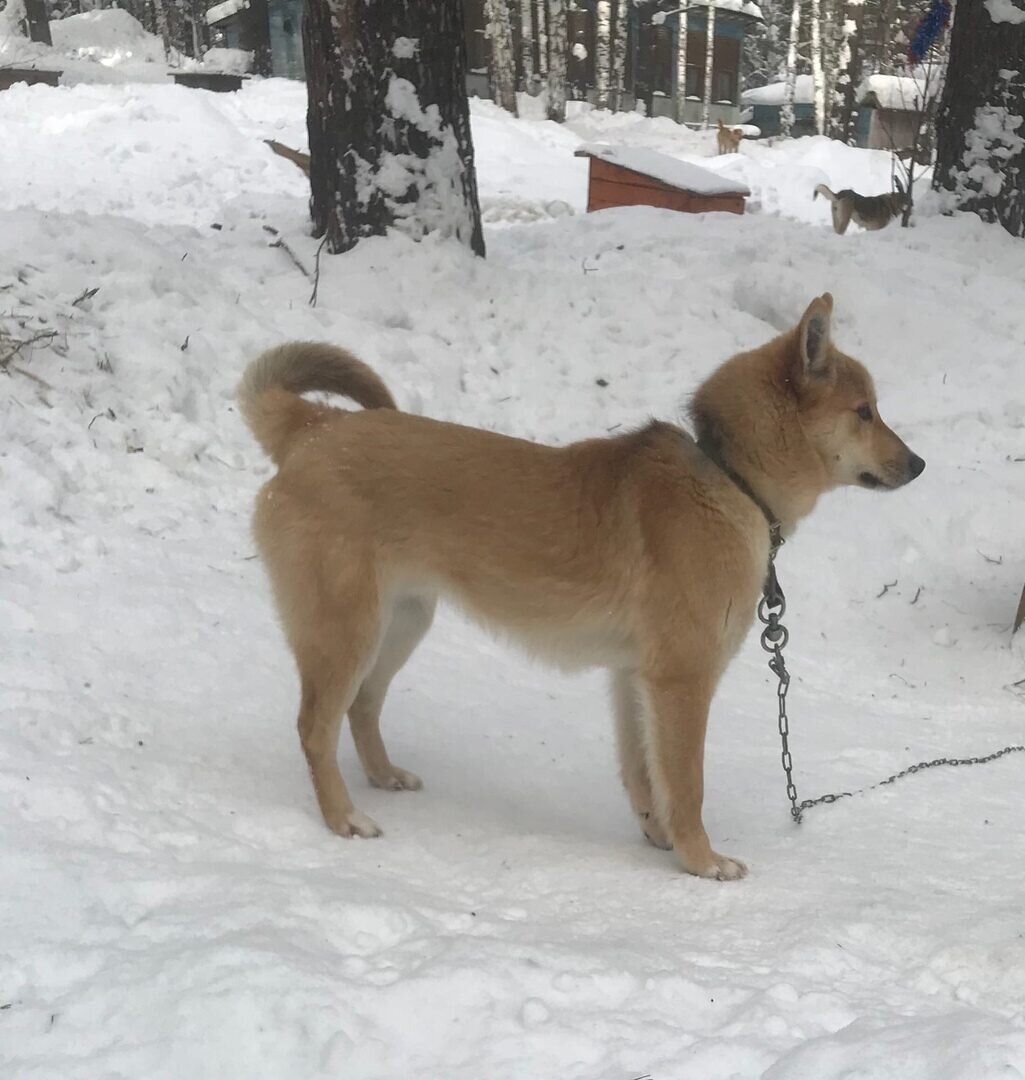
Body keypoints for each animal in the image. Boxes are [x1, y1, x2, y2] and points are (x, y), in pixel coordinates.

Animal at [241, 293, 928, 876]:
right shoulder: (681, 681)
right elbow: (687, 783)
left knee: (361, 707)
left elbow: (644, 774)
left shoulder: (634, 679)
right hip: (347, 632)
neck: (727, 474)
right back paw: (343, 817)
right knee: (314, 726)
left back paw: (382, 776)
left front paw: (659, 836)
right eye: (864, 413)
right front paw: (701, 860)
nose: (919, 464)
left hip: (402, 622)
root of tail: (314, 426)